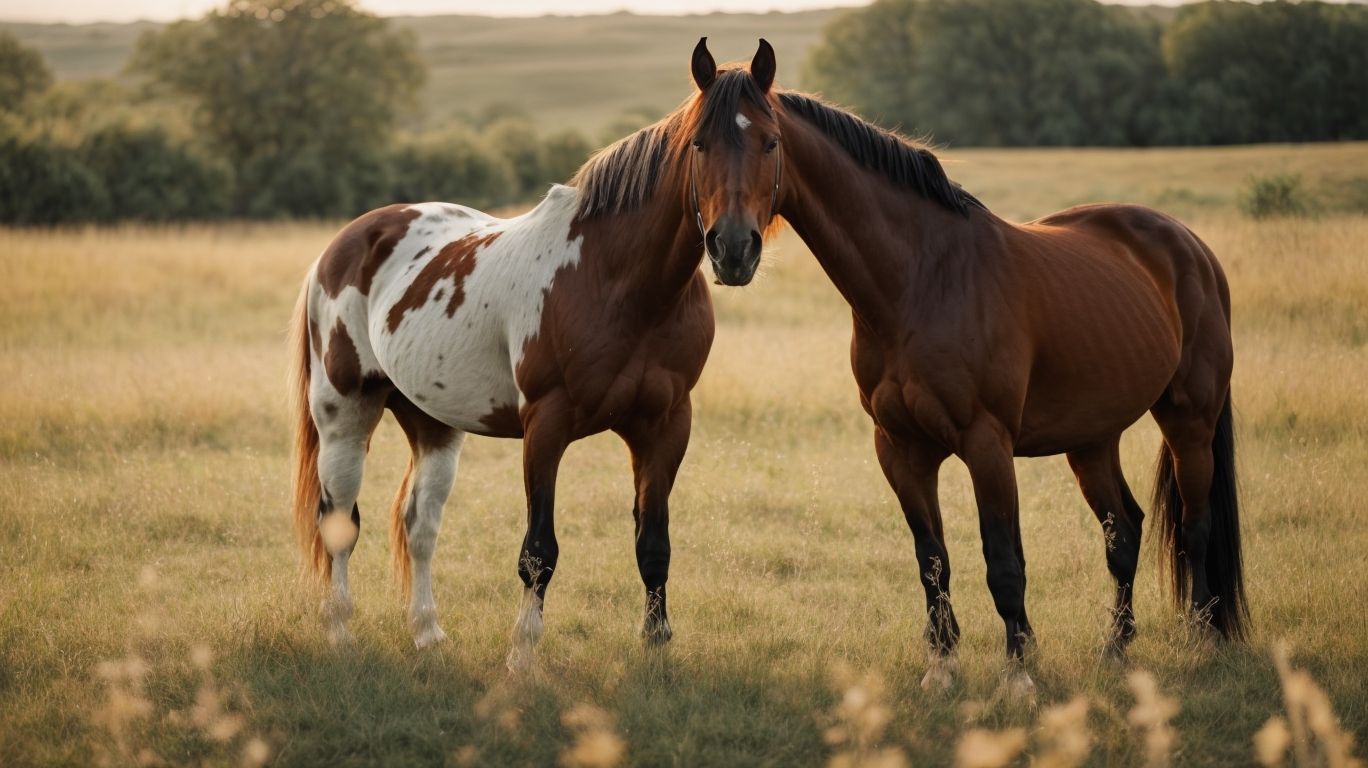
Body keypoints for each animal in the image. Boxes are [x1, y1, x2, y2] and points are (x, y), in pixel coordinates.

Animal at [286, 40, 782, 668]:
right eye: (699, 144)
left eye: (771, 142)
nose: (734, 249)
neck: (616, 281)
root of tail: (343, 245)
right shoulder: (547, 424)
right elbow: (539, 550)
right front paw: (522, 652)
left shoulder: (666, 424)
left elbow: (653, 541)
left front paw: (656, 645)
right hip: (345, 415)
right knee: (339, 523)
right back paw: (340, 632)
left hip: (432, 423)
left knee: (419, 526)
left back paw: (427, 631)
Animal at [684, 41, 1247, 695]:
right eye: (699, 143)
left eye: (770, 142)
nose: (731, 249)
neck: (920, 282)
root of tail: (1191, 247)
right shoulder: (900, 448)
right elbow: (932, 559)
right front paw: (942, 669)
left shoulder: (986, 443)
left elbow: (1003, 561)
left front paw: (1019, 675)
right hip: (1092, 439)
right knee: (1124, 532)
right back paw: (1116, 649)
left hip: (1189, 423)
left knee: (1196, 529)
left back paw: (1203, 639)